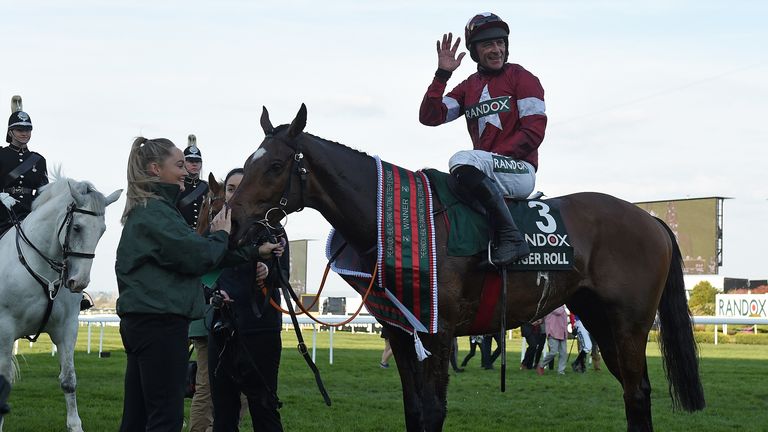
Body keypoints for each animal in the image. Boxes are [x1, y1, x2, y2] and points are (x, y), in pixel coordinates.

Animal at [0, 176, 121, 432]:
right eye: (77, 228)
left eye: (102, 231)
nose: (78, 281)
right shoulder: (5, 330)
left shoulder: (66, 328)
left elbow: (68, 380)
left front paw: (75, 426)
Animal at [230, 105, 708, 432]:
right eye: (249, 163)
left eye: (275, 165)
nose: (233, 224)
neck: (400, 221)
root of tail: (650, 219)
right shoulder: (401, 330)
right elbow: (414, 408)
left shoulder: (438, 330)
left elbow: (433, 409)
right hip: (600, 320)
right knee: (633, 391)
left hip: (629, 323)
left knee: (638, 391)